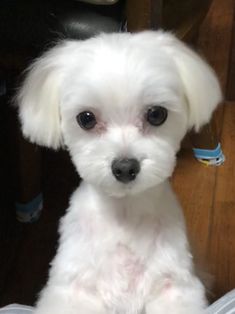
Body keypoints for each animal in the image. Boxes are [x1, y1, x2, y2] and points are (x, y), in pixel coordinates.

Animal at [17, 31, 221, 314]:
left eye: (156, 114)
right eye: (86, 118)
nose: (125, 167)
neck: (125, 214)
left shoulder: (174, 287)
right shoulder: (73, 289)